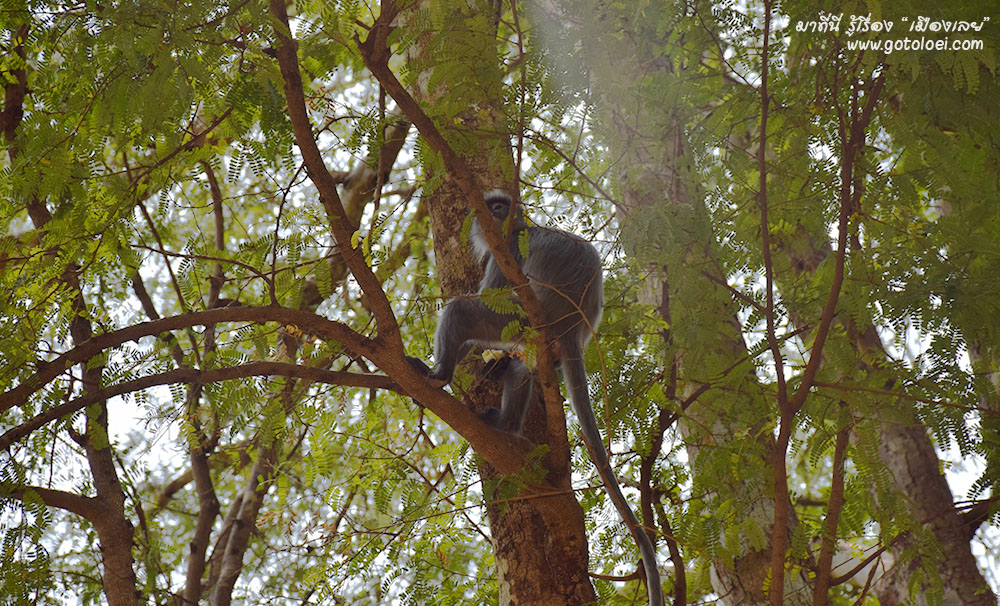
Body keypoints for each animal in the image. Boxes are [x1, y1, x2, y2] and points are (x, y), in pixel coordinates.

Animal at [406, 190, 664, 606]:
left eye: (499, 207)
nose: (496, 212)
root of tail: (573, 327)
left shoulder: (507, 249)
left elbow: (484, 295)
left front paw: (442, 374)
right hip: (534, 337)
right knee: (522, 371)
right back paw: (506, 420)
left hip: (524, 319)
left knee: (465, 309)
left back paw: (438, 377)